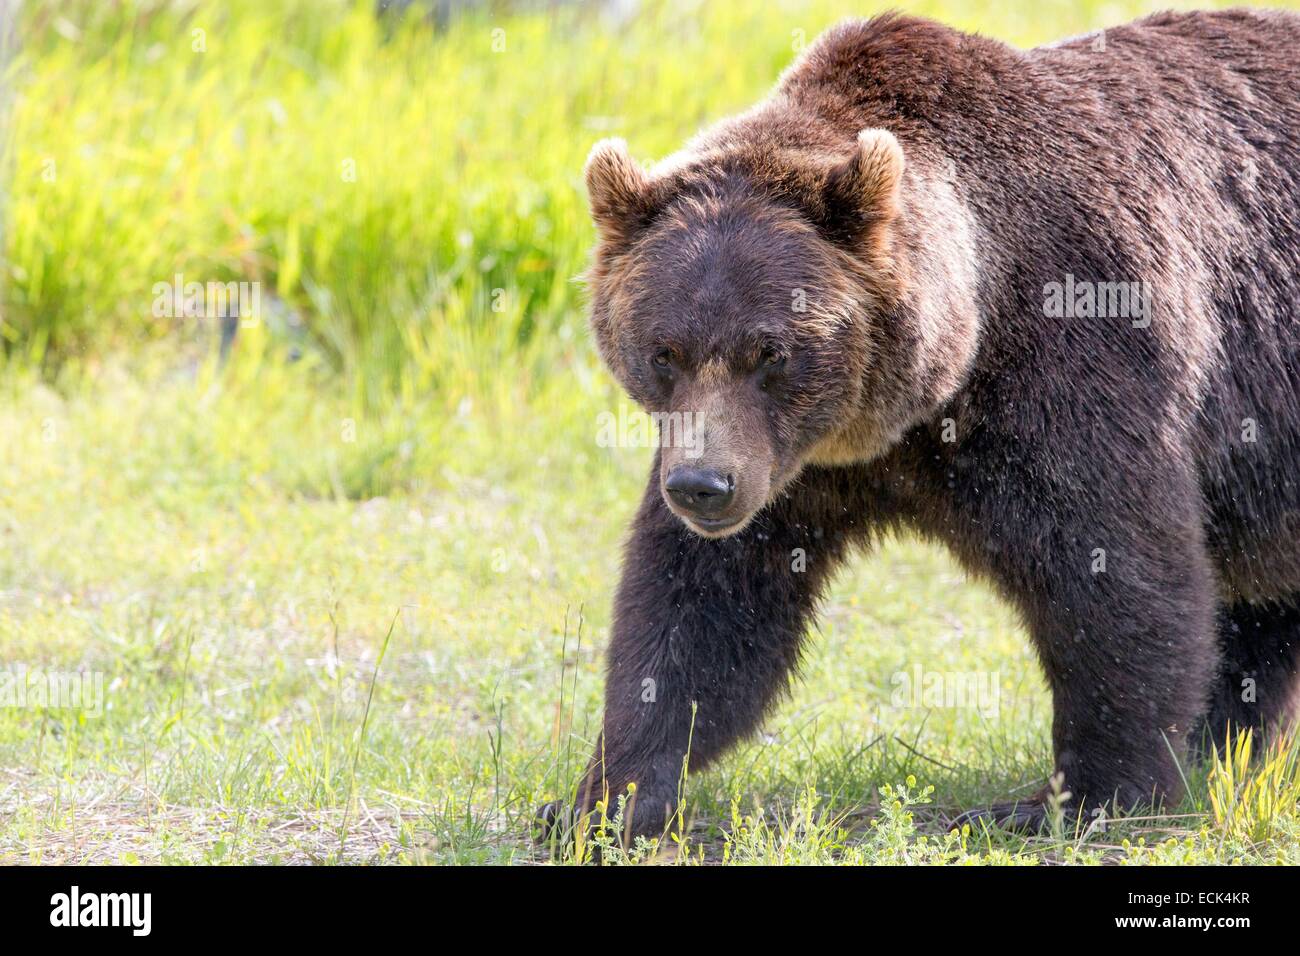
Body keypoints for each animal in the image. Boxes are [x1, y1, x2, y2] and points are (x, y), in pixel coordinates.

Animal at [546, 11, 1300, 842]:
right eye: (664, 351)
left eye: (770, 351)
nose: (703, 487)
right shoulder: (791, 468)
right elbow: (702, 606)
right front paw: (604, 798)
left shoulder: (1080, 357)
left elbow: (1119, 574)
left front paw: (1081, 794)